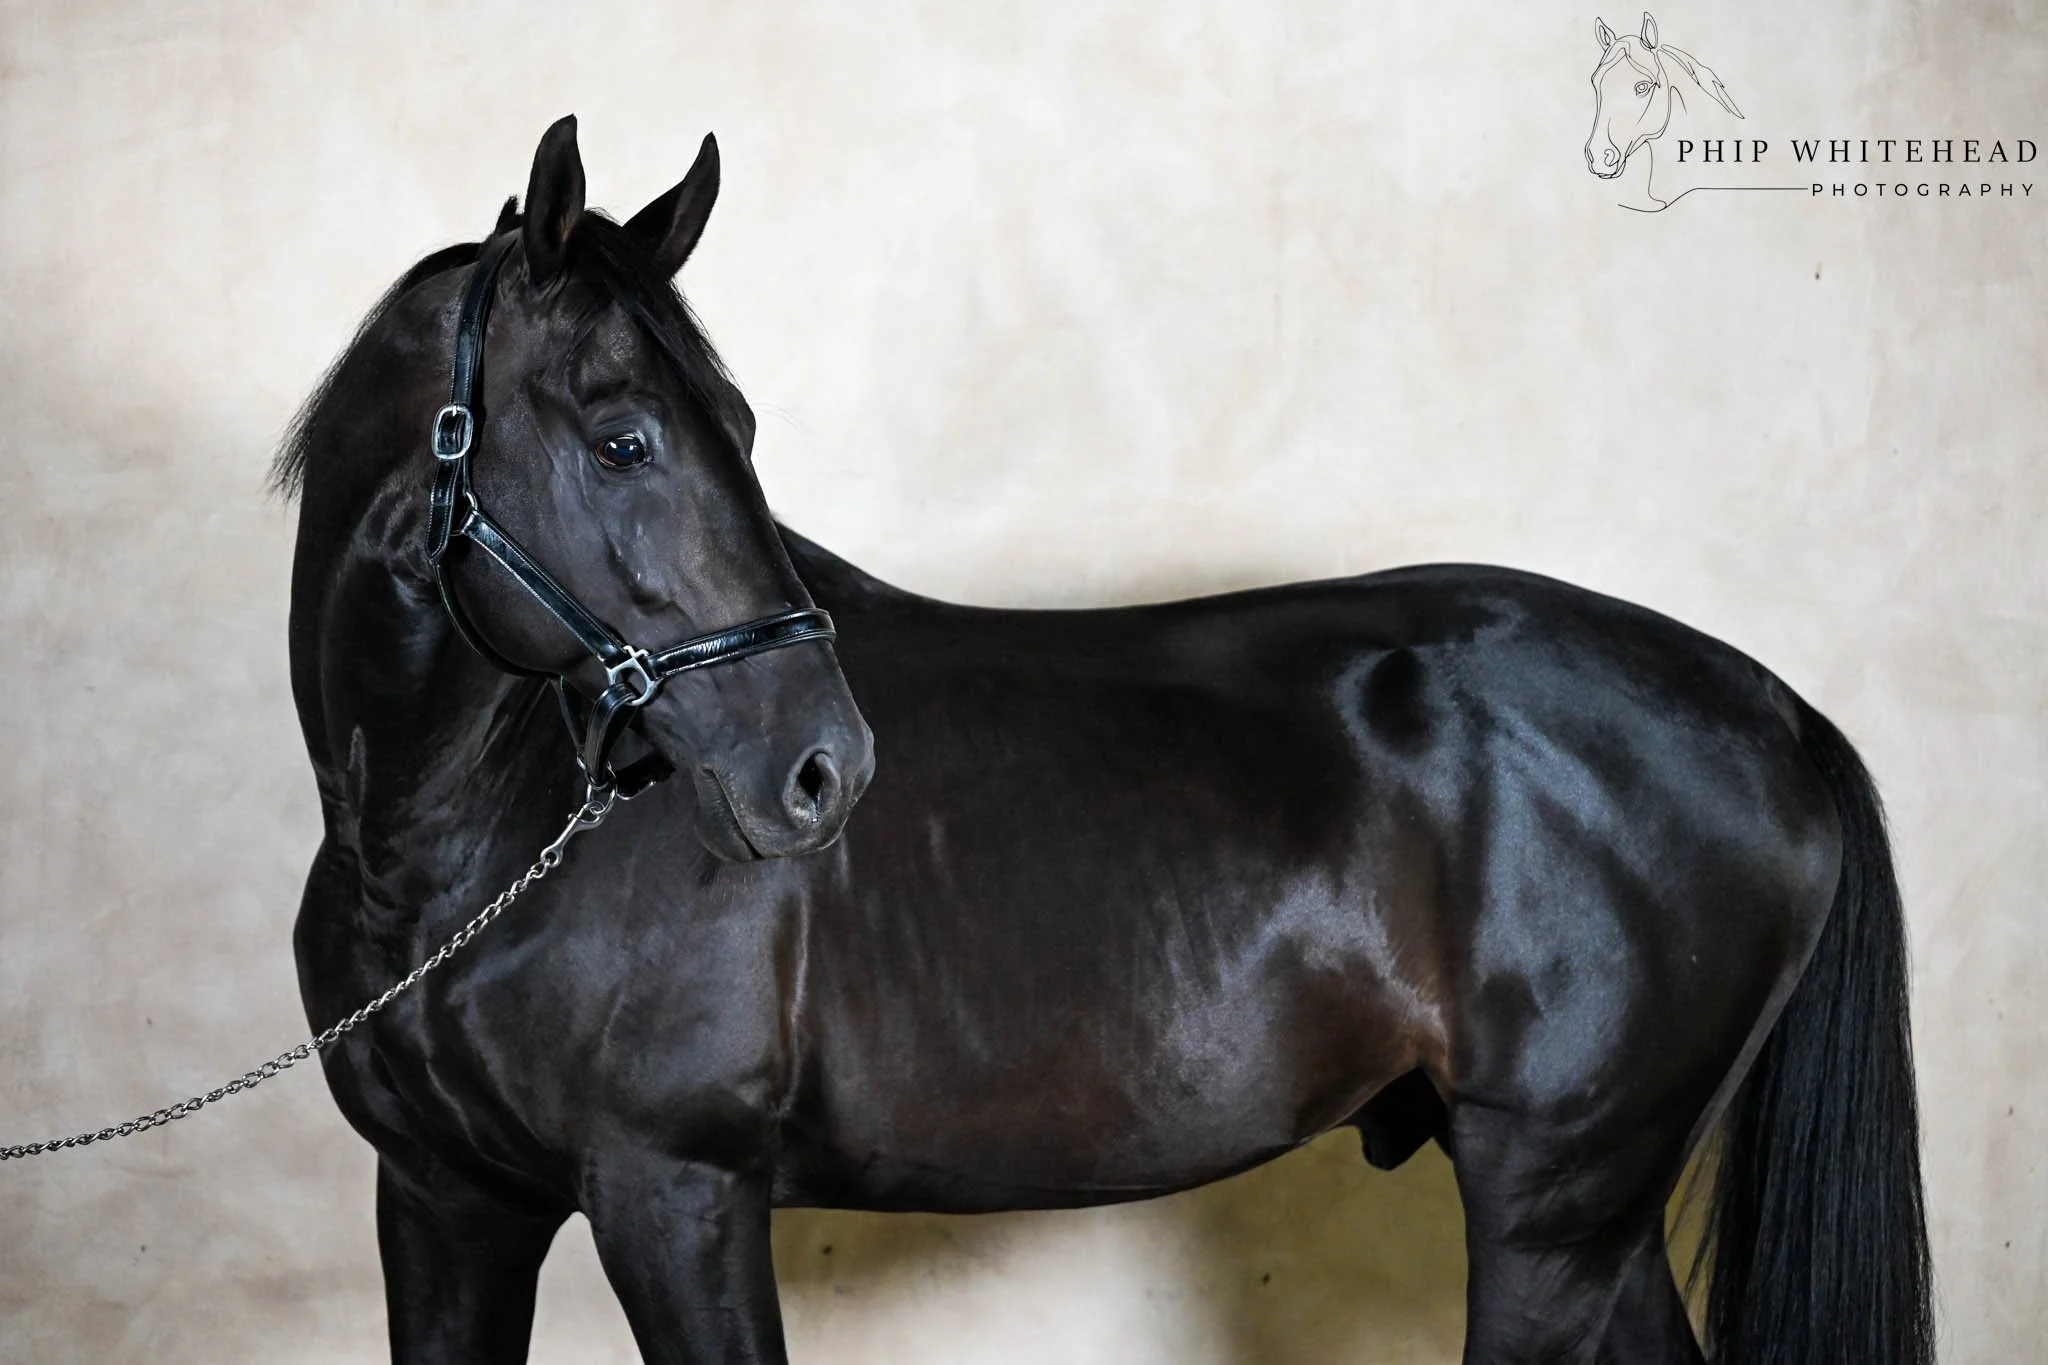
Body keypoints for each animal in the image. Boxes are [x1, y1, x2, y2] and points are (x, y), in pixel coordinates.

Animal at [280, 118, 1933, 1364]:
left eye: (737, 432)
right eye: (625, 438)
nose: (822, 768)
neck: (455, 851)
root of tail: (1778, 709)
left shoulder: (673, 1192)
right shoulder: (444, 1203)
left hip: (1554, 1210)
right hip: (1594, 1220)